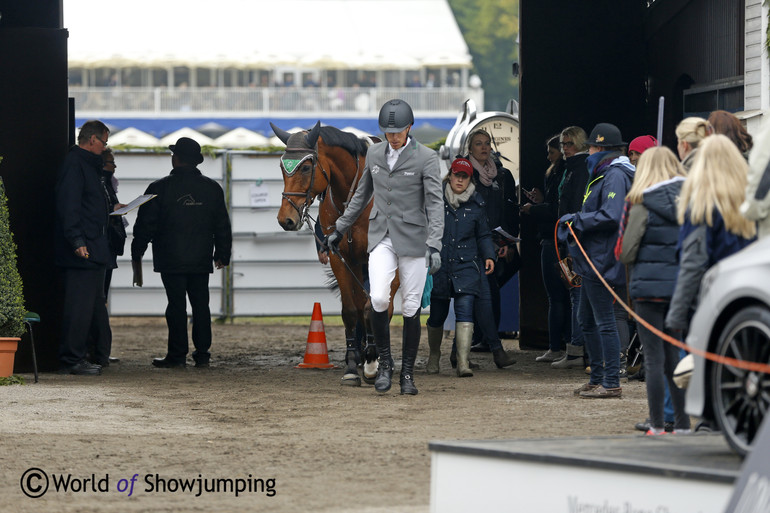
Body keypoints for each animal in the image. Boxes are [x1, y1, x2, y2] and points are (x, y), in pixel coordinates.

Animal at [270, 121, 400, 384]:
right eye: (281, 166)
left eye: (306, 167)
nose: (285, 219)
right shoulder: (339, 258)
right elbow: (351, 311)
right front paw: (352, 365)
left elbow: (373, 308)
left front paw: (373, 362)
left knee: (385, 307)